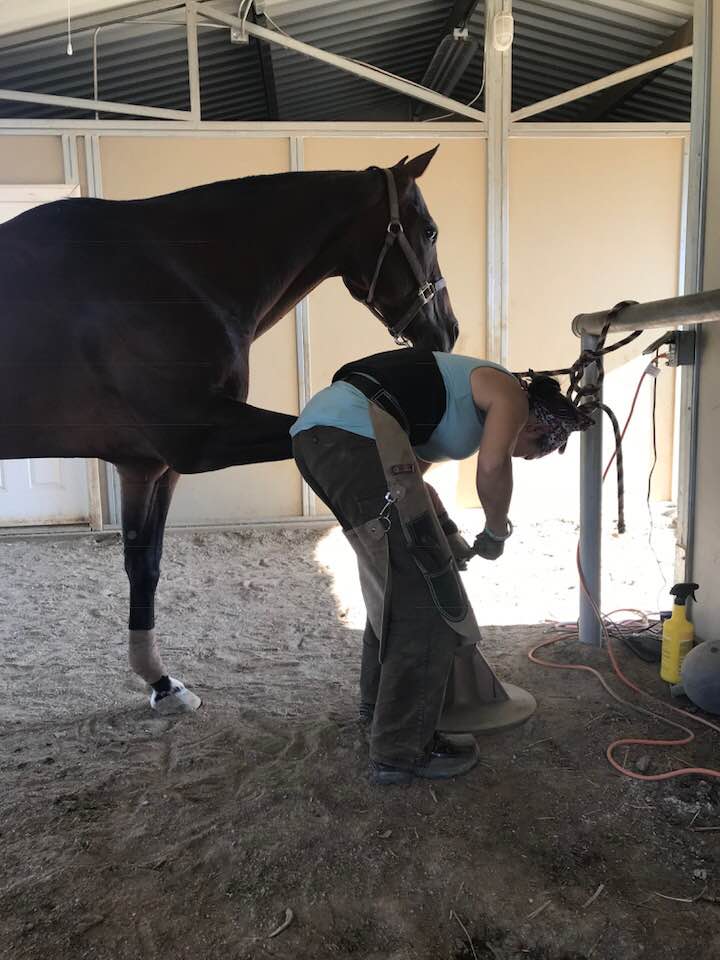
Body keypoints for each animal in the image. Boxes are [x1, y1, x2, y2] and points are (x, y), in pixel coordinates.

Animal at [0, 146, 458, 708]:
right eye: (430, 231)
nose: (448, 330)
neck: (175, 276)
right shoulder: (200, 438)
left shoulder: (149, 466)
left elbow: (144, 565)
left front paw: (160, 681)